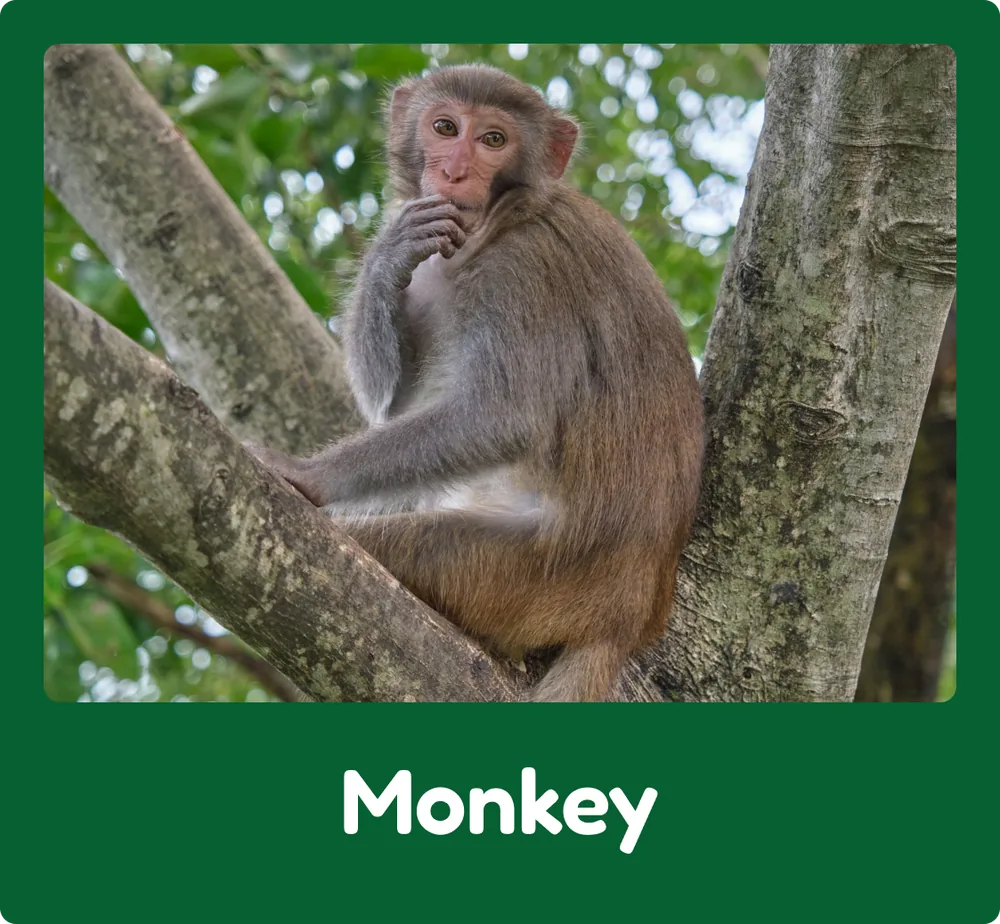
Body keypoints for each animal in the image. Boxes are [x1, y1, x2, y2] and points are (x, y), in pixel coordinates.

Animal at [246, 64, 704, 702]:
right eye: (445, 127)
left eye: (493, 140)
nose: (454, 171)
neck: (503, 214)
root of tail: (629, 618)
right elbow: (395, 403)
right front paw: (387, 255)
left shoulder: (523, 270)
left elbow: (503, 417)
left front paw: (306, 475)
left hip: (519, 573)